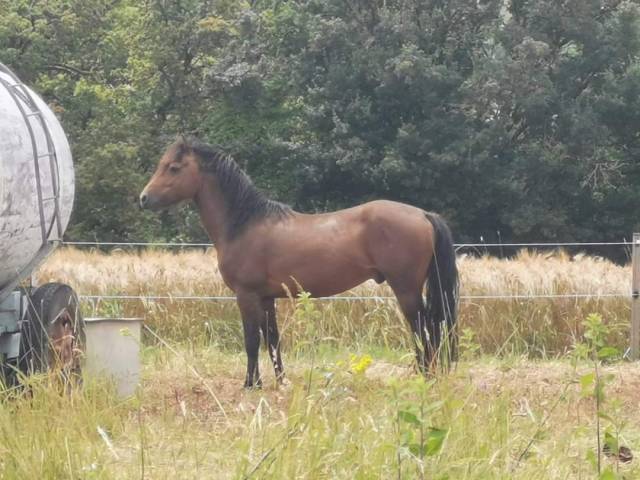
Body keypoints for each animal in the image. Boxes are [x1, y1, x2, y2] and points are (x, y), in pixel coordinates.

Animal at [141, 137, 460, 388]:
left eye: (173, 167)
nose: (144, 198)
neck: (244, 224)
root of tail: (423, 214)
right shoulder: (266, 298)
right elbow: (272, 340)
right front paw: (281, 382)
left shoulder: (247, 296)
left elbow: (251, 341)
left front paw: (250, 384)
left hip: (406, 290)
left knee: (423, 329)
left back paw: (424, 376)